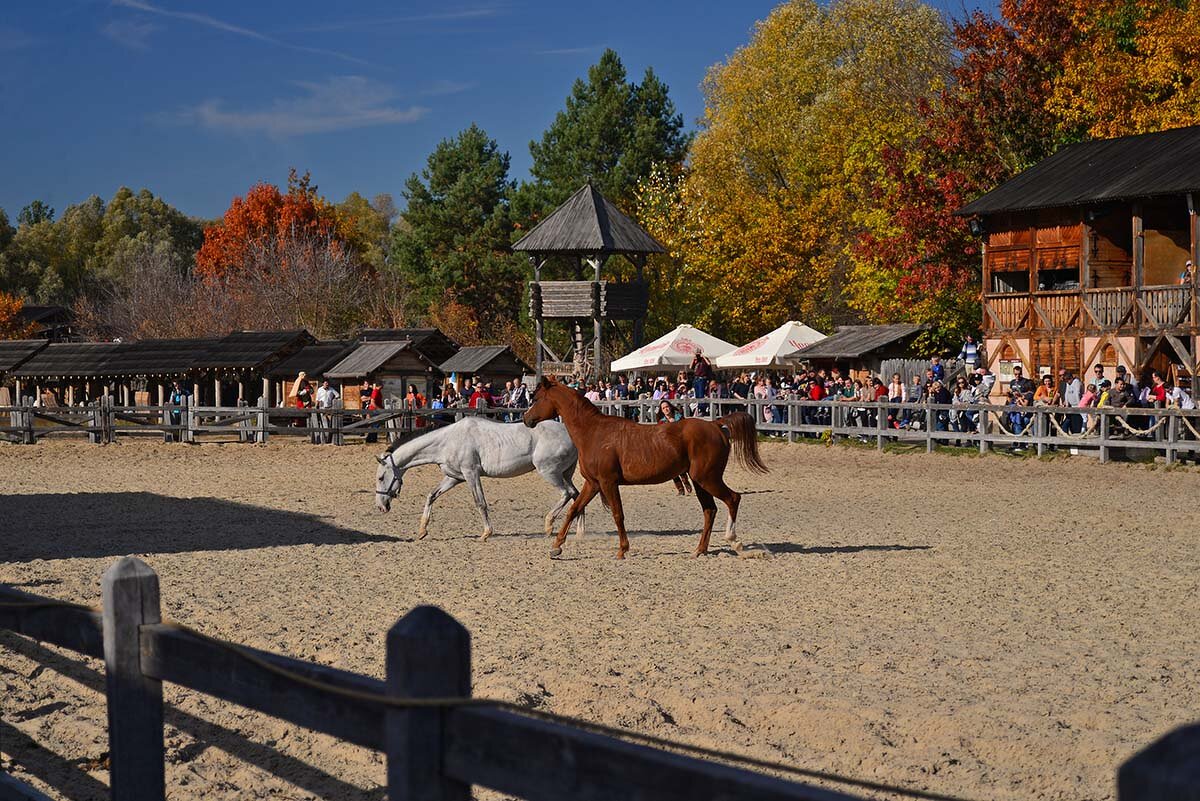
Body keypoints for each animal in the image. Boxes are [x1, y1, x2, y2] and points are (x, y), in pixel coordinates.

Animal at [372, 417, 583, 541]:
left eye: (381, 477)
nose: (381, 506)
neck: (446, 441)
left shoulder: (471, 473)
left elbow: (480, 502)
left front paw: (486, 533)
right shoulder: (454, 477)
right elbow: (431, 496)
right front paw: (422, 531)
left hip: (549, 472)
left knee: (567, 493)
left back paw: (549, 525)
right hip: (565, 473)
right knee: (577, 495)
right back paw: (580, 532)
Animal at [518, 378, 763, 561]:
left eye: (536, 398)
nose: (526, 418)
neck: (593, 432)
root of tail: (715, 425)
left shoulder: (608, 482)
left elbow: (618, 514)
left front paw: (622, 550)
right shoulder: (593, 483)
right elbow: (573, 509)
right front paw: (556, 547)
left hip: (708, 478)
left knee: (733, 499)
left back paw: (734, 541)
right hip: (699, 481)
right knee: (710, 510)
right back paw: (699, 550)